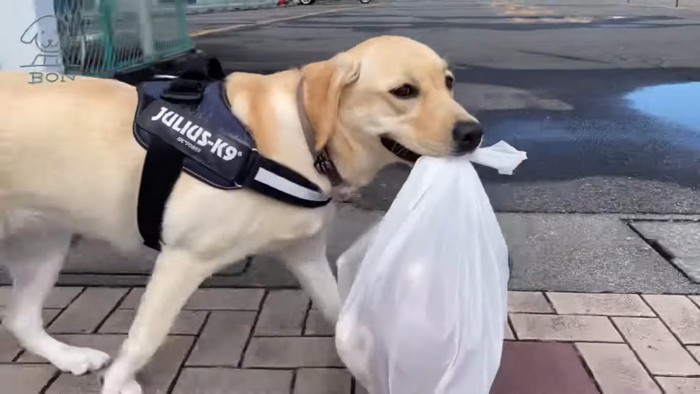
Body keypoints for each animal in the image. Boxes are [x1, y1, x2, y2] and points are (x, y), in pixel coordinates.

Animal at [0, 35, 482, 392]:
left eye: (449, 82)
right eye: (404, 92)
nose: (473, 133)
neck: (303, 138)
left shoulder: (305, 253)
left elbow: (343, 312)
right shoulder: (182, 258)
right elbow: (143, 339)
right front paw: (117, 383)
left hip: (44, 244)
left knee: (20, 319)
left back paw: (70, 356)